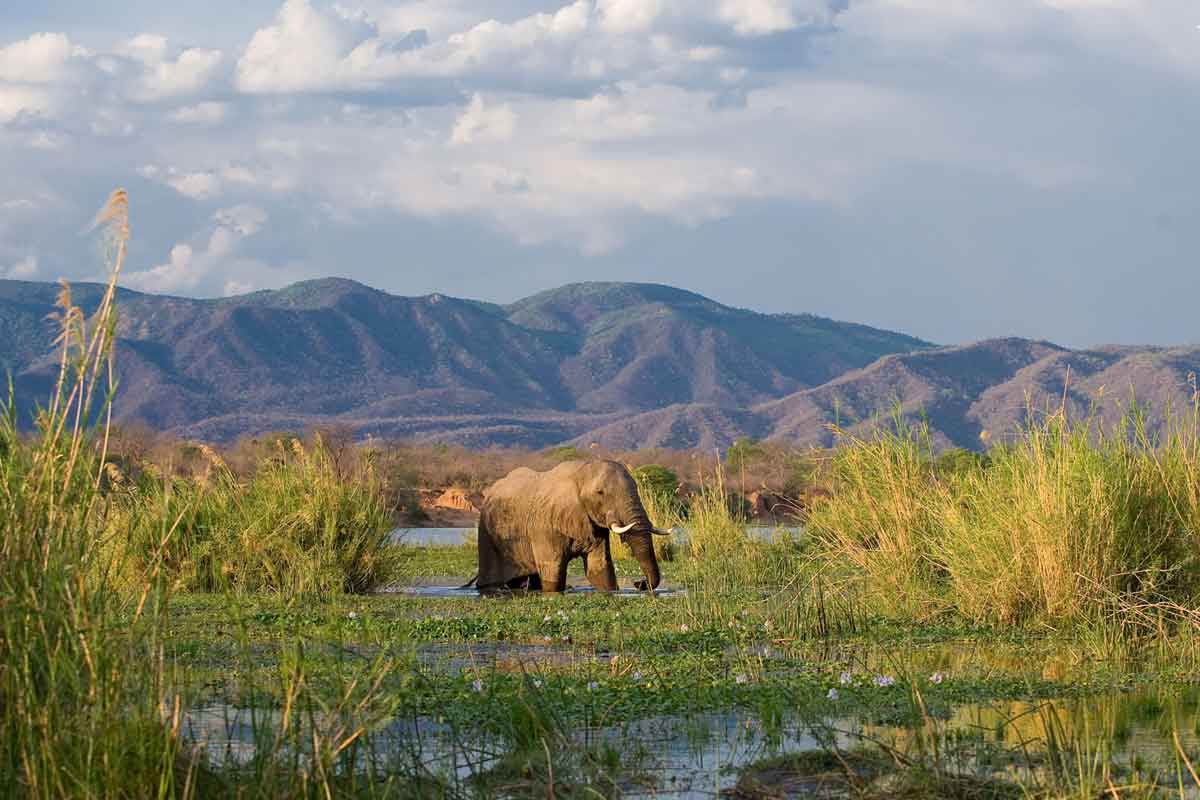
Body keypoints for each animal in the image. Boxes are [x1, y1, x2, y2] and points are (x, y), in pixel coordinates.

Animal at [472, 460, 672, 592]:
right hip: (487, 536)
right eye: (600, 493)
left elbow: (600, 569)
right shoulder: (544, 525)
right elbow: (552, 570)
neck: (581, 471)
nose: (638, 584)